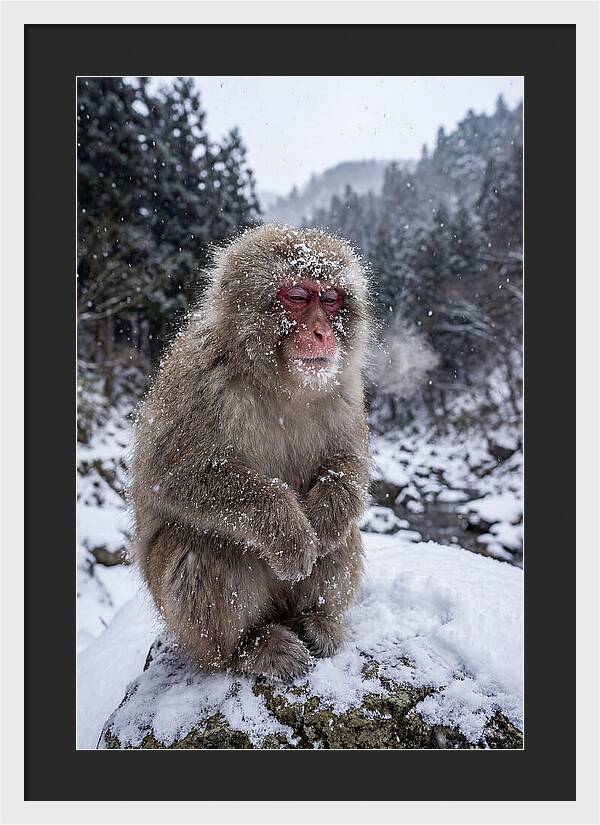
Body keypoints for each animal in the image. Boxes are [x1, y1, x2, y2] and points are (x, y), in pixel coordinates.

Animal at [130, 224, 371, 680]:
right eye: (297, 296)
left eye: (331, 299)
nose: (322, 332)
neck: (280, 384)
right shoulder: (198, 377)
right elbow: (172, 475)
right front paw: (290, 532)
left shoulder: (345, 389)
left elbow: (349, 463)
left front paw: (324, 519)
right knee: (201, 544)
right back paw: (248, 648)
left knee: (344, 535)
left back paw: (316, 619)